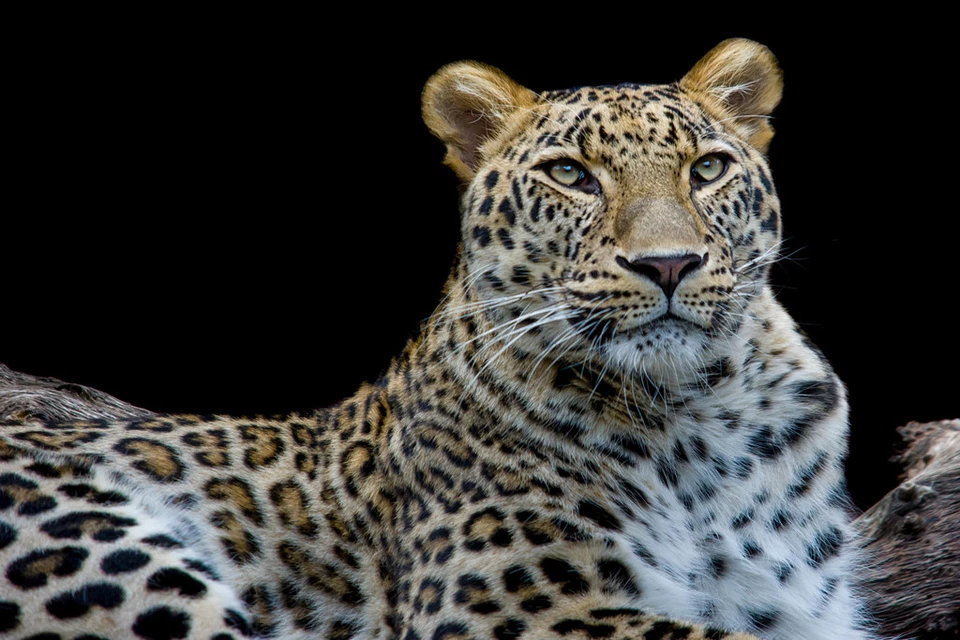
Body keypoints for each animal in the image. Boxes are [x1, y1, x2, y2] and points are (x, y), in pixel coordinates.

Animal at [0, 39, 874, 639]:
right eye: (571, 175)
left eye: (707, 169)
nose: (669, 263)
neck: (698, 414)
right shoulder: (511, 606)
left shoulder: (803, 606)